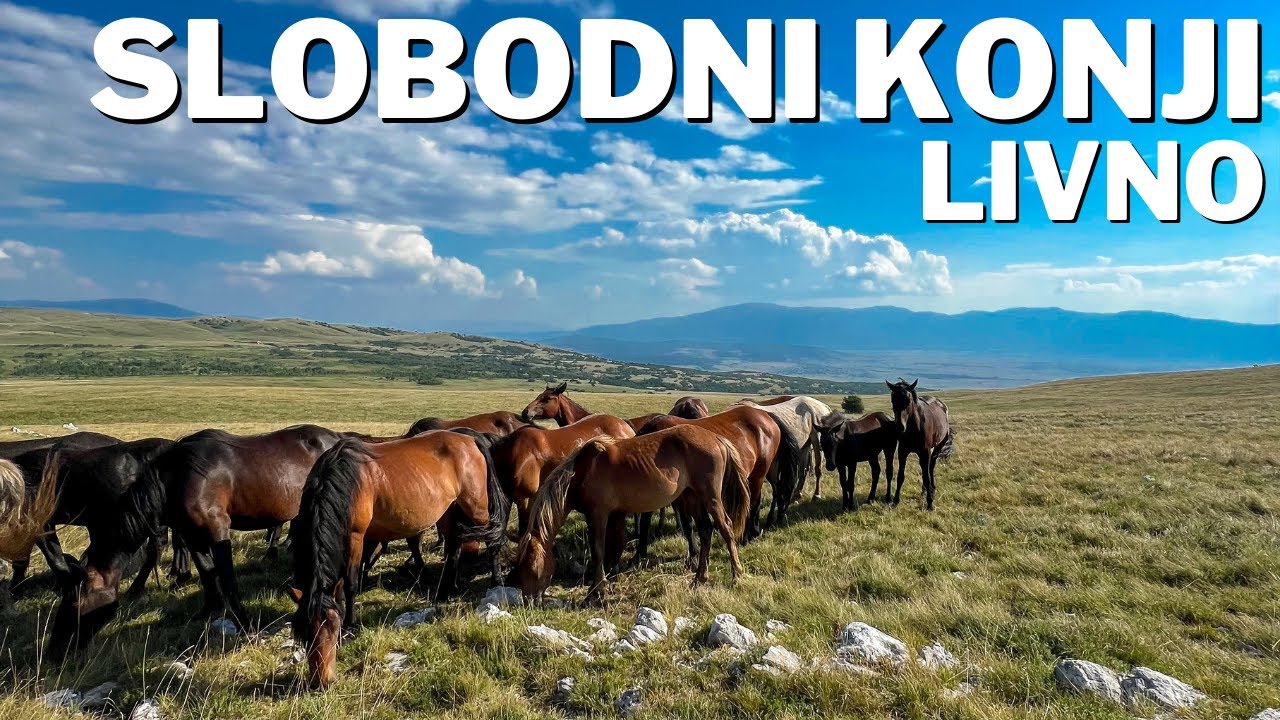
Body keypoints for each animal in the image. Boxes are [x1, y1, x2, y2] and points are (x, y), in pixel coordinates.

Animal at [290, 429, 509, 690]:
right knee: (454, 547)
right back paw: (447, 590)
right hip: (449, 509)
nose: (321, 682)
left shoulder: (356, 535)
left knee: (492, 540)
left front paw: (351, 626)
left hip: (477, 506)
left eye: (332, 630)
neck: (344, 481)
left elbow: (351, 583)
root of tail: (469, 438)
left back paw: (496, 582)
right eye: (304, 635)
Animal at [514, 425, 749, 604]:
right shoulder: (608, 515)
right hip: (693, 498)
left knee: (726, 528)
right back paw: (699, 578)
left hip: (710, 498)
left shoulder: (598, 514)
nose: (529, 600)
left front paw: (595, 592)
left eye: (531, 567)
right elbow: (611, 547)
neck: (581, 472)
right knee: (705, 531)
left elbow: (598, 550)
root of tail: (716, 438)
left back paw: (737, 575)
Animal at [886, 380, 954, 511]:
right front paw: (896, 501)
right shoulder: (902, 451)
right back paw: (925, 491)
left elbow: (926, 476)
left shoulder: (925, 451)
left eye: (908, 400)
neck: (914, 428)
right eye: (893, 400)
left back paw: (931, 490)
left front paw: (930, 503)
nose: (900, 427)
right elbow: (900, 476)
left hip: (937, 447)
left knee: (931, 467)